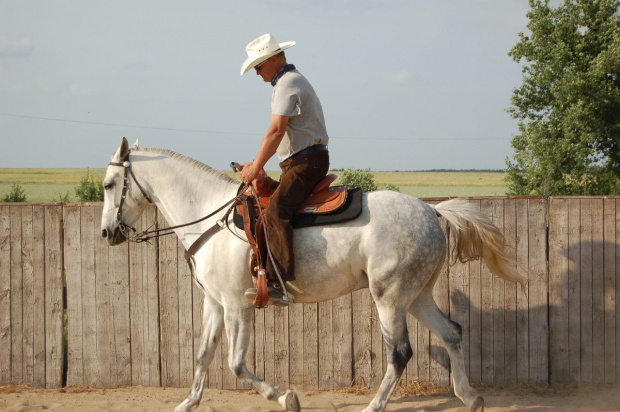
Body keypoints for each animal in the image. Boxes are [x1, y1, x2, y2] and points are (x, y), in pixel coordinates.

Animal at [100, 138, 524, 412]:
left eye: (109, 184)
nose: (107, 233)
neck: (210, 218)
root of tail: (432, 211)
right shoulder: (215, 304)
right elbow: (204, 355)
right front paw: (188, 402)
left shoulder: (238, 307)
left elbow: (235, 363)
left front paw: (285, 397)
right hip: (416, 295)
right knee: (452, 332)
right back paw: (470, 397)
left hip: (389, 298)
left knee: (400, 353)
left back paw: (374, 406)